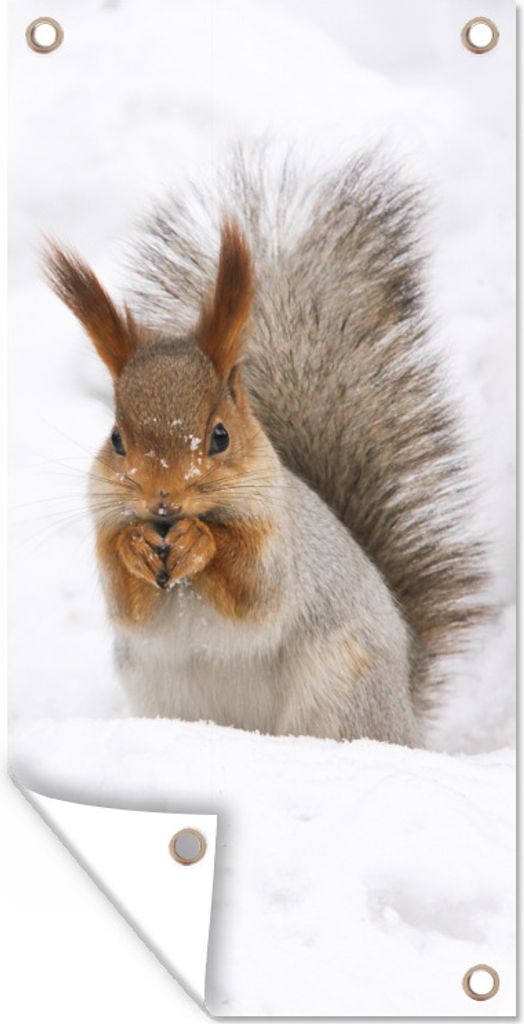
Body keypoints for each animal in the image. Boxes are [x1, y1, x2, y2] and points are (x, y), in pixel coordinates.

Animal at [45, 151, 486, 746]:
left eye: (220, 436)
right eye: (116, 439)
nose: (163, 500)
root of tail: (404, 717)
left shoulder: (280, 543)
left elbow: (253, 589)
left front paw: (200, 541)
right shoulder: (107, 528)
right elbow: (127, 599)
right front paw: (135, 546)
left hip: (339, 692)